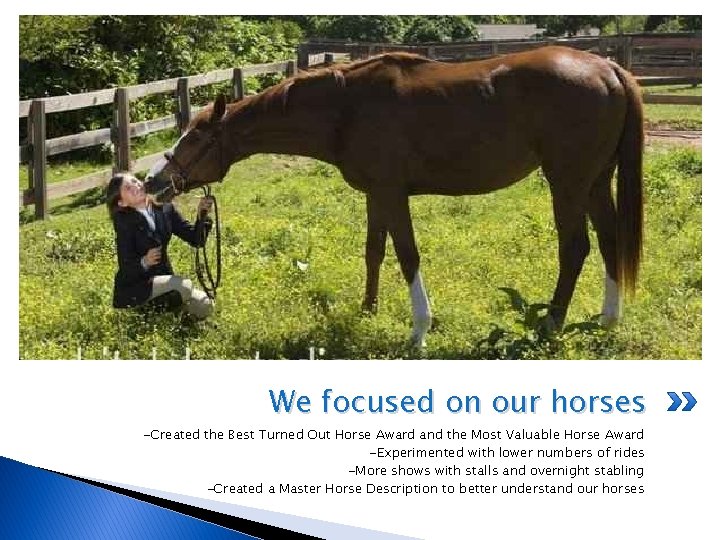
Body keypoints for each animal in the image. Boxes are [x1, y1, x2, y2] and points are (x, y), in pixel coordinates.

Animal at [144, 46, 644, 348]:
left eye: (195, 139)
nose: (152, 182)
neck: (347, 108)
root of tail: (608, 68)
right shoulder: (376, 194)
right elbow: (374, 251)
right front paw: (368, 310)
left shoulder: (391, 192)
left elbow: (407, 255)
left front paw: (419, 330)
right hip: (597, 180)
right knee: (610, 242)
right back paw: (608, 320)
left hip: (568, 181)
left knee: (575, 248)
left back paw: (551, 325)